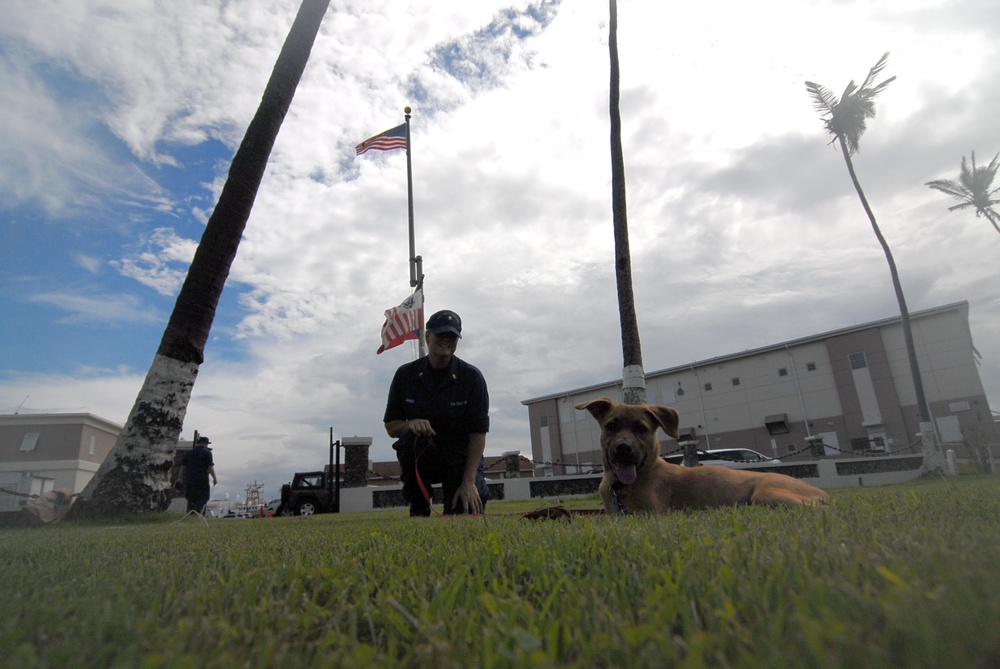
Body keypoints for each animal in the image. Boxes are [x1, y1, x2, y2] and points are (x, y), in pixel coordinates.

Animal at [576, 396, 832, 512]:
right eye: (611, 426)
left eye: (641, 429)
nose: (623, 448)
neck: (623, 485)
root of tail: (820, 491)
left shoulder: (652, 514)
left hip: (768, 494)